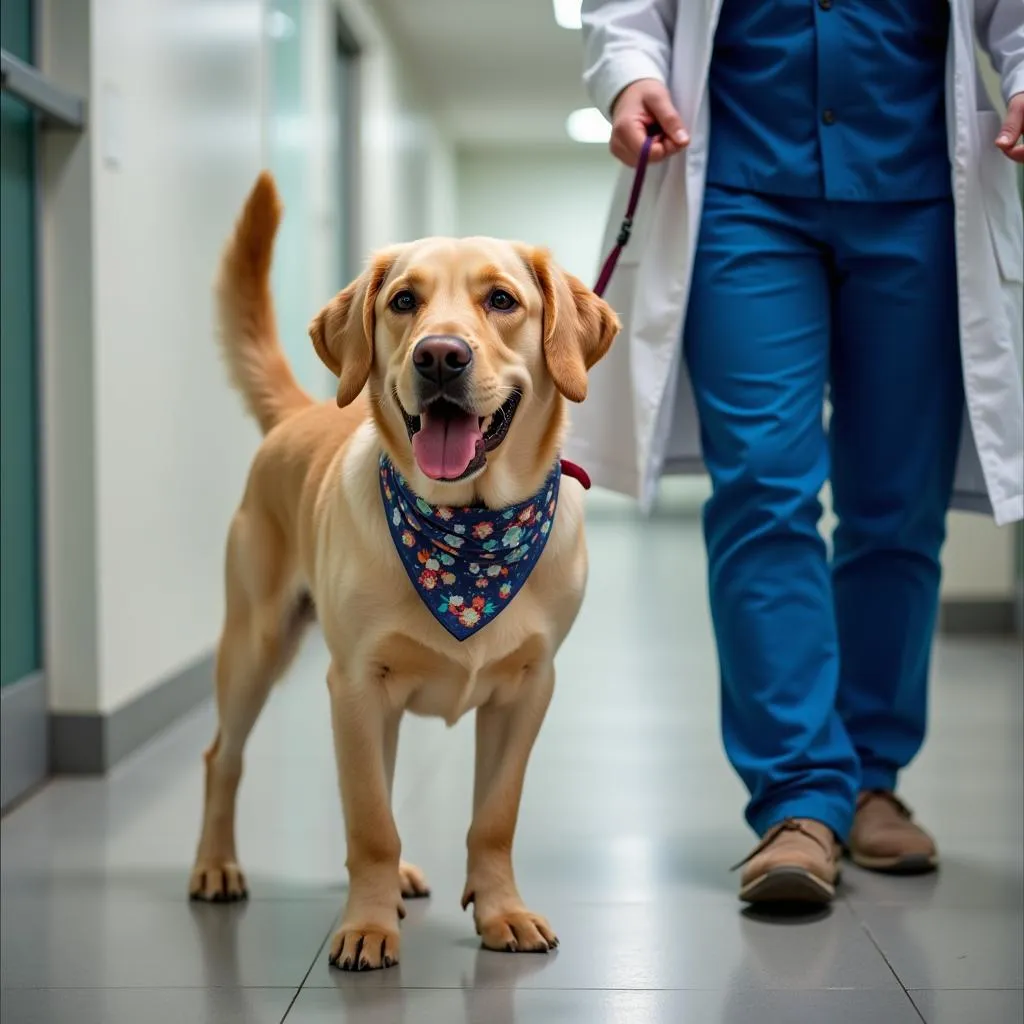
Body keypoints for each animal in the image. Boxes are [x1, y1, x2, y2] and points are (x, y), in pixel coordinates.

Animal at [189, 174, 618, 966]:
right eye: (403, 301)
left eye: (502, 299)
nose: (440, 357)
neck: (469, 533)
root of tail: (302, 412)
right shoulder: (356, 684)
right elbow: (369, 821)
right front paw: (366, 924)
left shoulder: (529, 689)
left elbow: (493, 817)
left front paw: (502, 912)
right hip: (255, 645)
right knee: (221, 758)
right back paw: (216, 865)